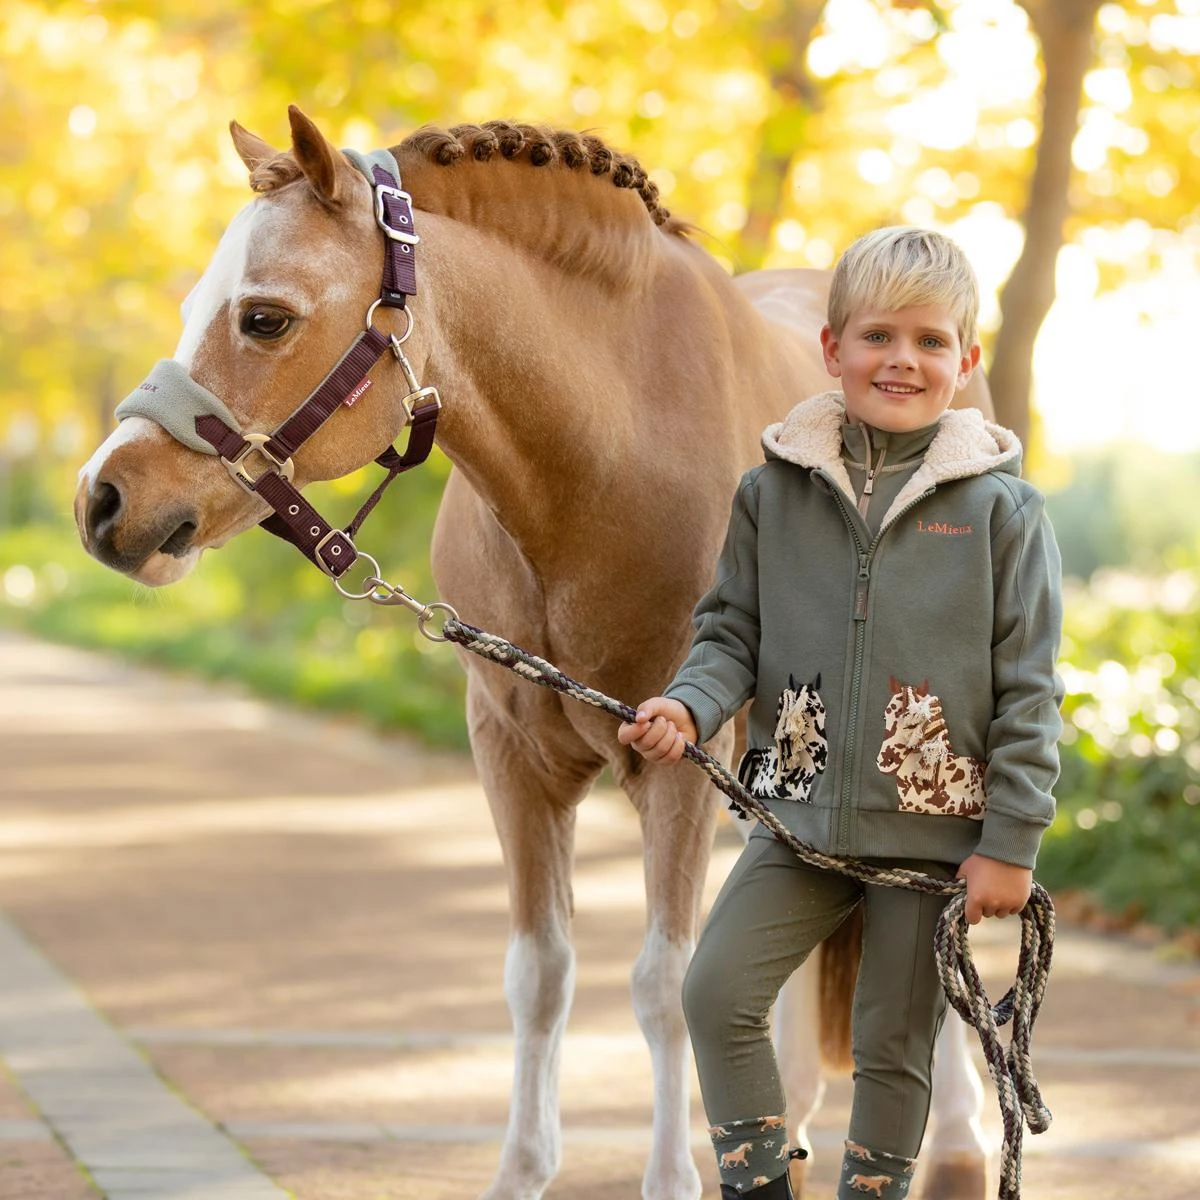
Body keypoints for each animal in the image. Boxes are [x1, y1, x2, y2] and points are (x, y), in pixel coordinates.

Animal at [74, 107, 992, 1199]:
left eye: (263, 318)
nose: (103, 503)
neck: (603, 467)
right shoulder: (512, 756)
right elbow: (539, 974)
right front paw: (523, 1169)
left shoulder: (679, 763)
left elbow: (663, 980)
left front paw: (672, 1178)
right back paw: (803, 1117)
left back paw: (957, 1146)